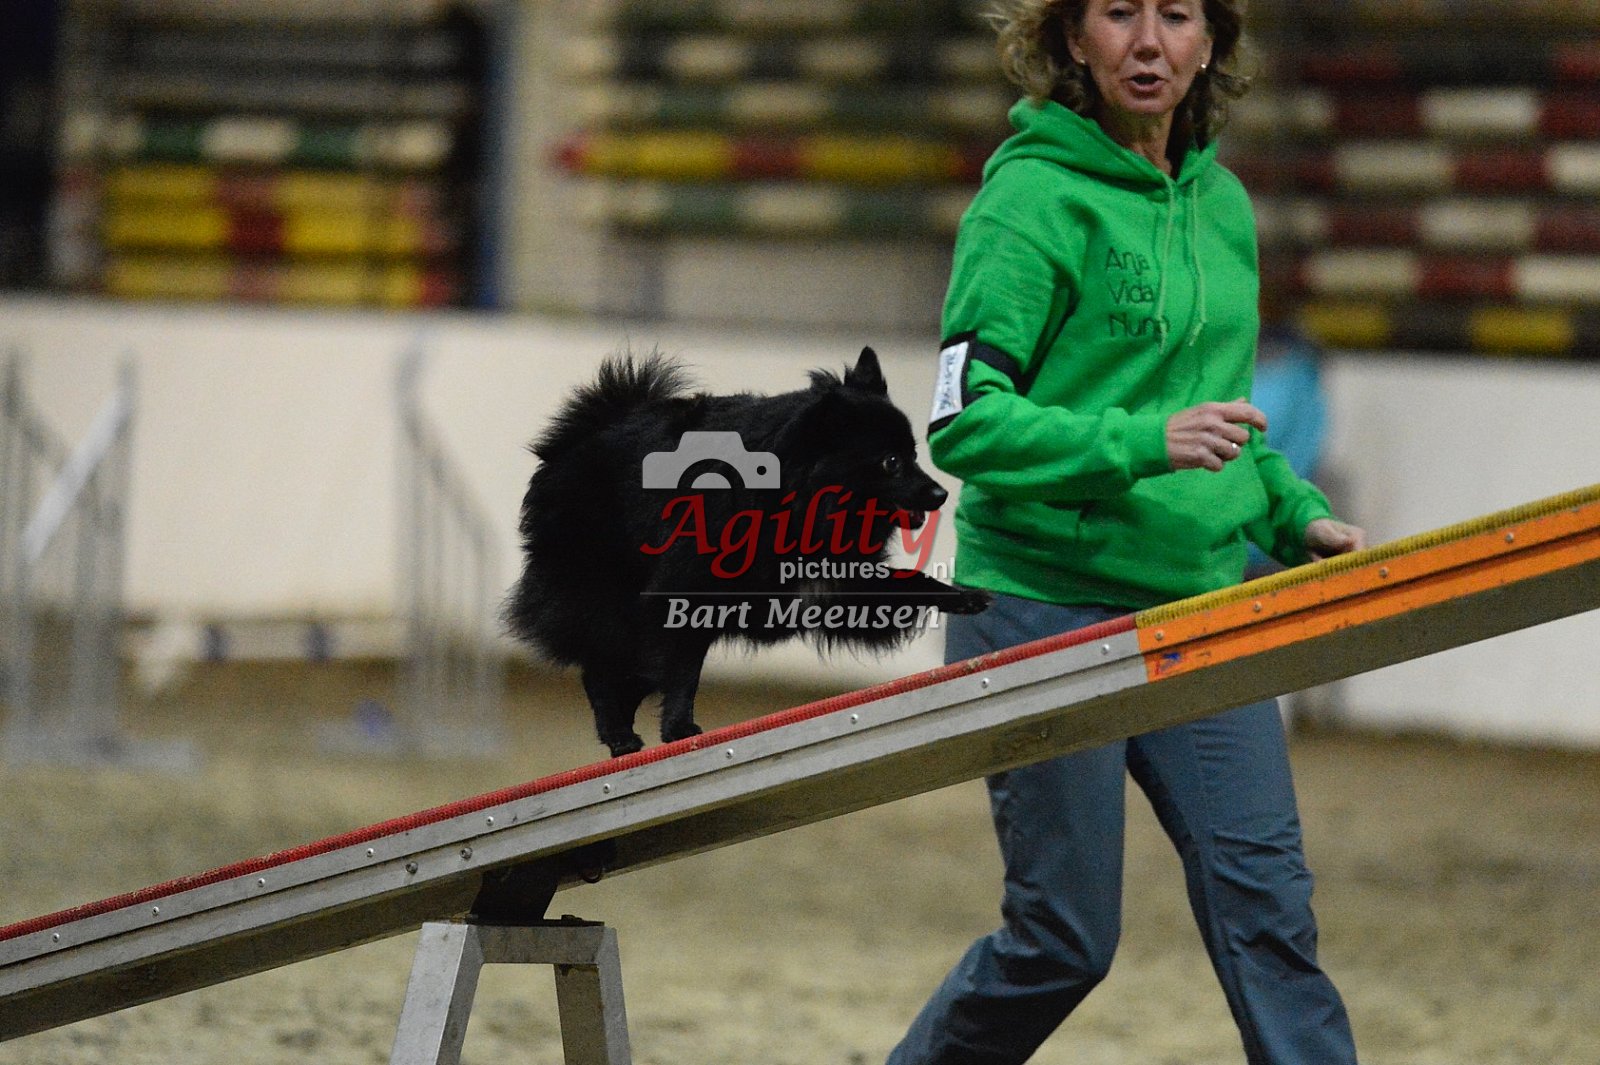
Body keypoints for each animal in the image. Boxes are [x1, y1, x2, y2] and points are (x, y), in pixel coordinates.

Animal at [505, 346, 989, 756]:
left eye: (914, 454)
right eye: (891, 462)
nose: (941, 493)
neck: (793, 498)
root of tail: (576, 439)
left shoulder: (834, 579)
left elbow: (909, 582)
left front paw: (963, 595)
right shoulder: (689, 587)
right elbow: (684, 669)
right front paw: (680, 728)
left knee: (634, 670)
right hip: (609, 597)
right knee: (602, 668)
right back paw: (619, 734)